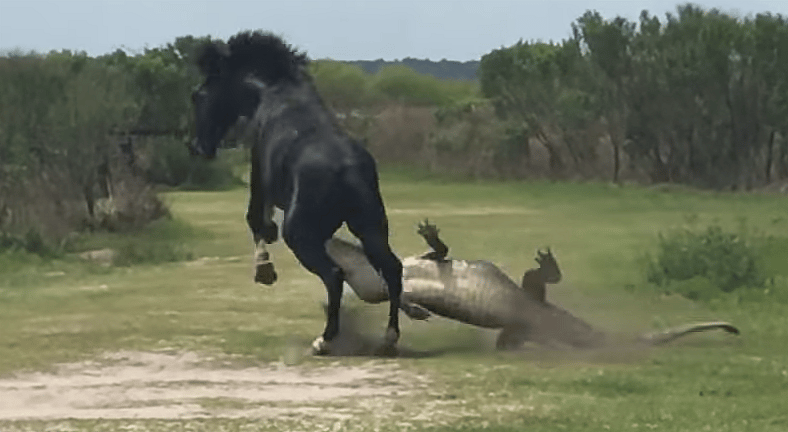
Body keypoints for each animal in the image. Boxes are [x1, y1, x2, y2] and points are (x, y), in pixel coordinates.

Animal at [188, 31, 403, 356]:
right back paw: (388, 338)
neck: (272, 91)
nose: (199, 146)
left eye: (199, 96)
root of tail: (348, 169)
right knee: (392, 268)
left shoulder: (259, 176)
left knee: (334, 275)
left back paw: (324, 340)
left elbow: (255, 219)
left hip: (301, 234)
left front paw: (264, 269)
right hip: (371, 227)